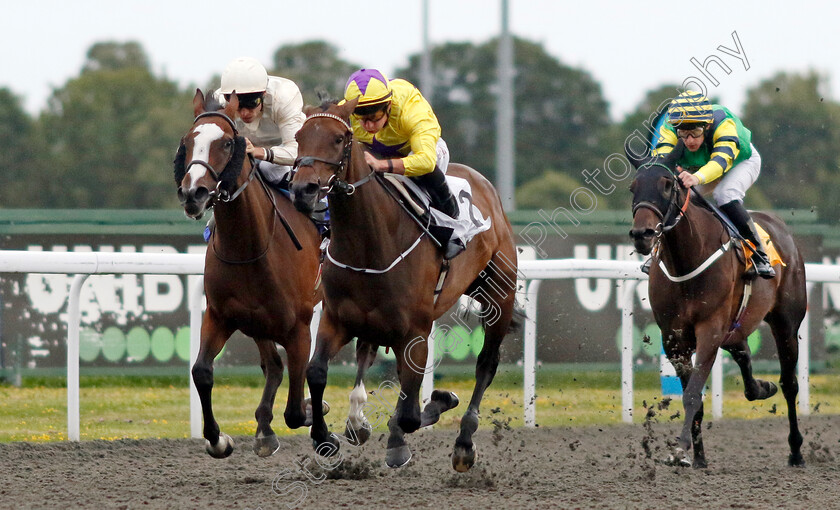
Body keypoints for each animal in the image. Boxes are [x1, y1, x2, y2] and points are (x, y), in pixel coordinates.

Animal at [174, 90, 324, 458]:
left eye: (228, 143)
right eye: (187, 141)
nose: (193, 193)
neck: (250, 247)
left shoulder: (299, 327)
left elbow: (296, 407)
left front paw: (313, 413)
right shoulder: (220, 316)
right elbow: (201, 371)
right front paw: (219, 439)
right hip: (259, 322)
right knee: (273, 366)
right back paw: (264, 430)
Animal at [292, 97, 520, 472]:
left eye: (339, 138)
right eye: (298, 137)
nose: (302, 190)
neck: (370, 243)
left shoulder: (415, 330)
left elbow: (412, 412)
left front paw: (428, 411)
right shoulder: (337, 319)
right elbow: (316, 372)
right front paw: (326, 439)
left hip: (498, 295)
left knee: (486, 364)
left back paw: (464, 442)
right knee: (370, 356)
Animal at [628, 141, 804, 468]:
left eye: (667, 184)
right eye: (633, 187)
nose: (641, 235)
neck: (687, 258)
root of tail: (780, 227)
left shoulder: (709, 329)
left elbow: (692, 393)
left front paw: (680, 448)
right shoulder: (674, 339)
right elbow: (692, 394)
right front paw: (697, 456)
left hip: (786, 322)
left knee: (789, 383)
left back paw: (796, 451)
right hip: (736, 325)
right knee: (743, 351)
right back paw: (761, 387)